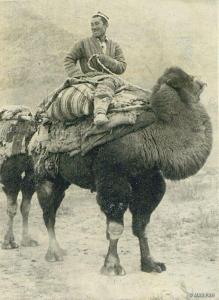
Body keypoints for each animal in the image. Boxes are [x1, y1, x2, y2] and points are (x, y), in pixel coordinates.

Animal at [33, 67, 212, 276]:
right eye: (186, 80)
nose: (202, 82)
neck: (153, 137)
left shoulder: (149, 179)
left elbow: (141, 225)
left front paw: (151, 264)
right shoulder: (112, 179)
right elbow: (115, 226)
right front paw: (112, 266)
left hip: (62, 180)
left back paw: (59, 251)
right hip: (45, 175)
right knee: (48, 213)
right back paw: (54, 254)